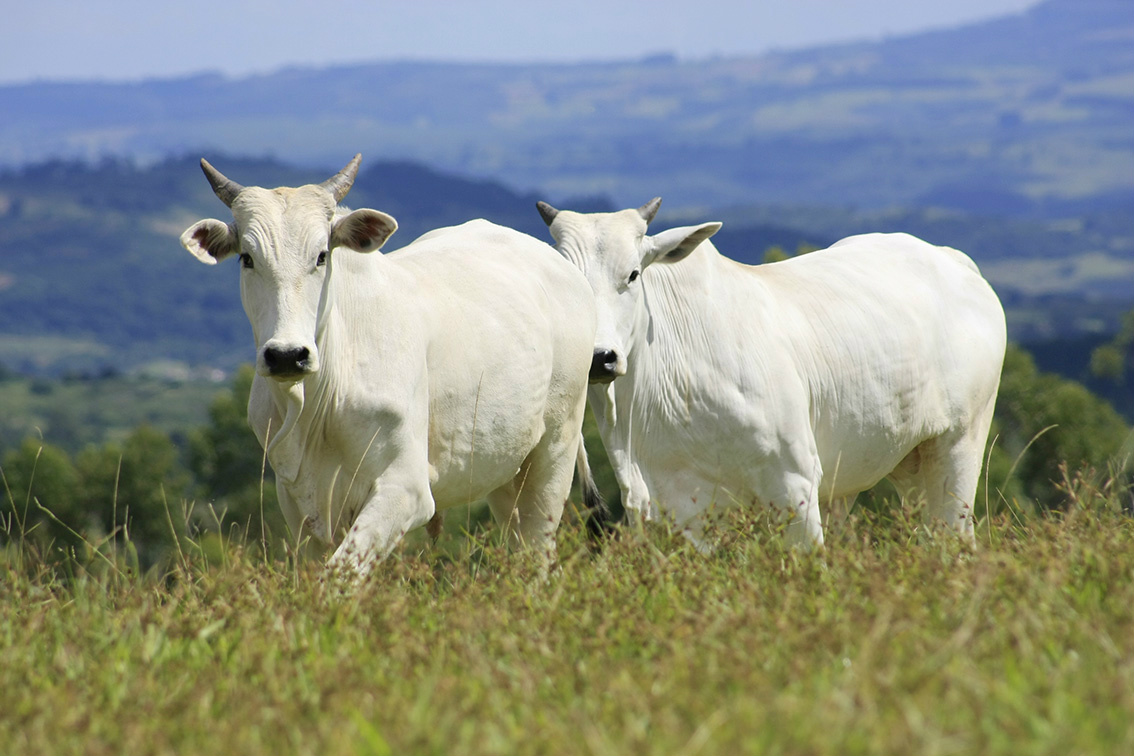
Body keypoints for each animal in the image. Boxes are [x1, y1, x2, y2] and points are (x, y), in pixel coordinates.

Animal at [179, 156, 594, 575]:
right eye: (247, 258)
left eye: (322, 256)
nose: (286, 355)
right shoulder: (298, 505)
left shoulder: (406, 488)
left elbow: (340, 574)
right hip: (503, 471)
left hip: (554, 454)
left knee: (539, 554)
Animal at [539, 198, 1011, 546]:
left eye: (634, 274)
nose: (600, 357)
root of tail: (954, 261)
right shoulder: (671, 509)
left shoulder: (795, 484)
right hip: (898, 464)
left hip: (957, 448)